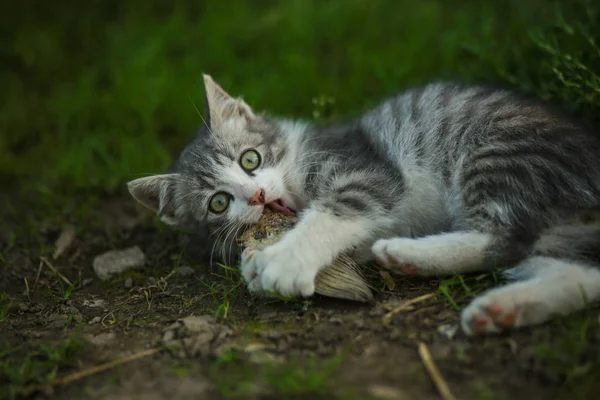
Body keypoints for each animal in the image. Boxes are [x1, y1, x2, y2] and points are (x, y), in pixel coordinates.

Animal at [129, 74, 600, 334]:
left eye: (250, 159)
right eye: (218, 203)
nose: (257, 196)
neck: (299, 163)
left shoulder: (368, 173)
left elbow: (332, 213)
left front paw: (283, 262)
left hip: (499, 152)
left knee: (505, 238)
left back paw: (406, 252)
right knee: (581, 274)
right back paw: (502, 307)